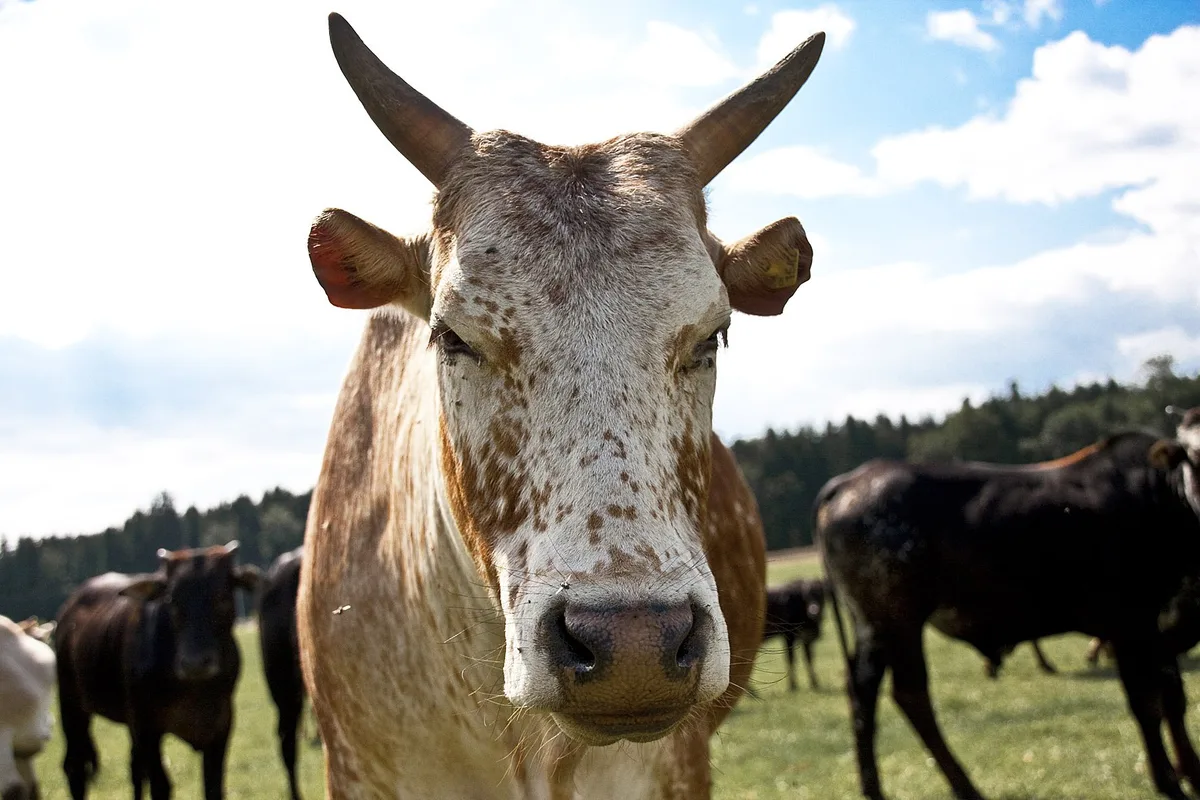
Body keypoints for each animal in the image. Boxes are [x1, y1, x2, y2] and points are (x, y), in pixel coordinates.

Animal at [55, 542, 260, 800]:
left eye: (222, 597)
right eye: (172, 599)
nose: (195, 663)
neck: (194, 688)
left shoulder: (221, 726)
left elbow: (213, 788)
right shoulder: (147, 728)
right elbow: (161, 786)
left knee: (134, 770)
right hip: (71, 705)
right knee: (75, 767)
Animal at [817, 432, 1200, 800]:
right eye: (1195, 455)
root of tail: (851, 481)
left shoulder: (1156, 630)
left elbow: (1173, 698)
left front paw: (1191, 773)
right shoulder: (1128, 623)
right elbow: (1146, 704)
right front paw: (1169, 782)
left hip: (872, 626)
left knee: (862, 691)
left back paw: (873, 788)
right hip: (899, 619)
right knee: (911, 695)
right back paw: (965, 787)